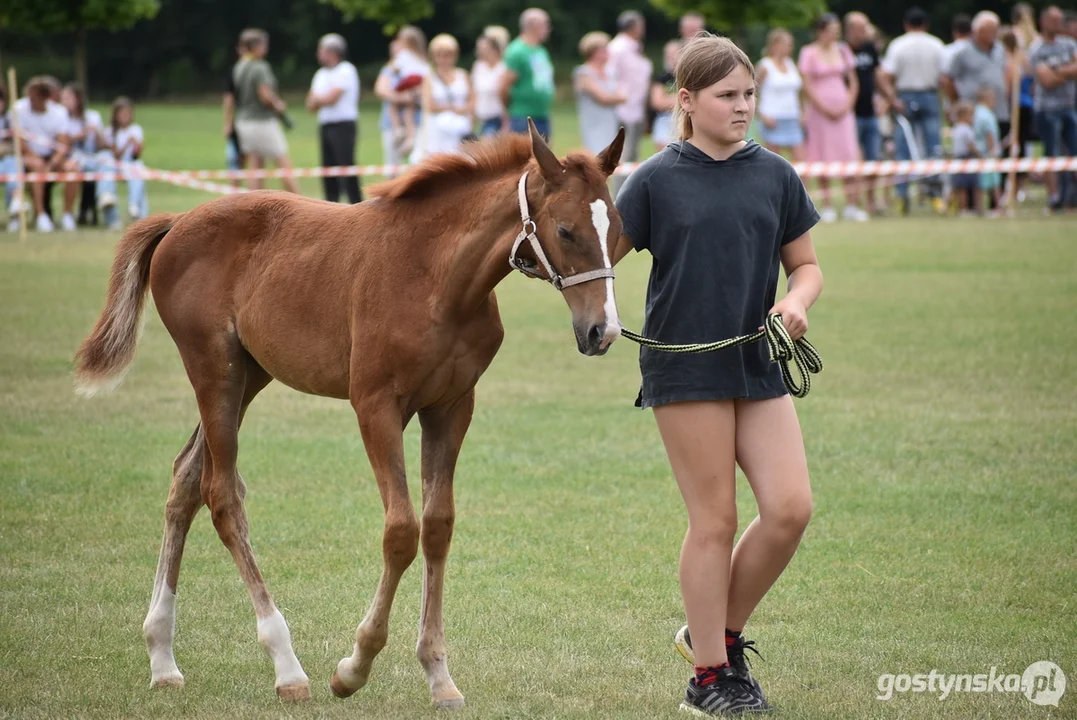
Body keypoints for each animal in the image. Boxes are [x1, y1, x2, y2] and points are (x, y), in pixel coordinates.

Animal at [75, 123, 628, 706]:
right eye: (565, 230)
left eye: (617, 229)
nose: (603, 331)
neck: (437, 278)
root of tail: (178, 221)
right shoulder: (376, 406)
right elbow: (401, 530)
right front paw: (354, 667)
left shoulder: (452, 407)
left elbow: (437, 527)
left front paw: (438, 674)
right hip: (213, 371)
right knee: (221, 494)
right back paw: (286, 665)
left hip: (249, 374)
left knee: (185, 479)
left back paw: (162, 656)